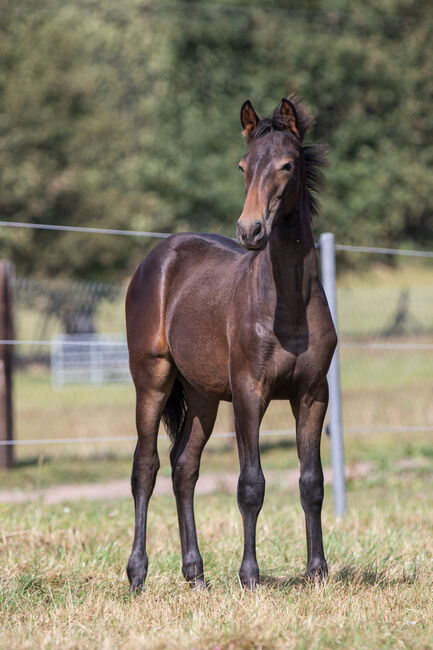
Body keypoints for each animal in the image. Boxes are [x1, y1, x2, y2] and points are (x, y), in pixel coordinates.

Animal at [126, 95, 336, 588]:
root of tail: (156, 258)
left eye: (286, 164)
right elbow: (251, 484)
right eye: (243, 165)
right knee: (146, 467)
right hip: (152, 379)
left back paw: (195, 573)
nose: (250, 231)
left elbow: (312, 481)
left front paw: (317, 572)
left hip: (202, 394)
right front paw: (250, 575)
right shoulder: (248, 393)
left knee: (184, 466)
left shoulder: (313, 394)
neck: (286, 305)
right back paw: (137, 572)